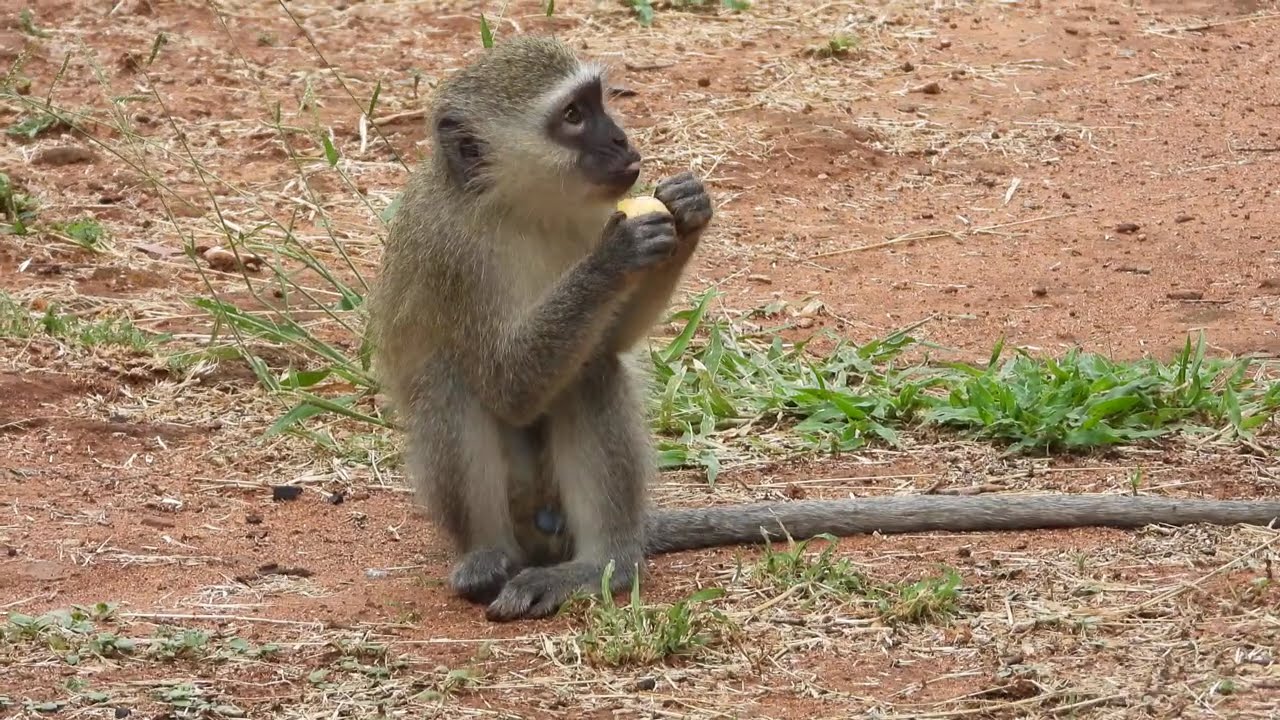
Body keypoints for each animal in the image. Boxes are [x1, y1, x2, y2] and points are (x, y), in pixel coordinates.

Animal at [366, 35, 1280, 623]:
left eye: (600, 103)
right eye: (572, 117)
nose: (623, 141)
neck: (522, 208)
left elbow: (609, 348)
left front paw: (686, 215)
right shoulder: (453, 255)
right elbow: (508, 383)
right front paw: (619, 252)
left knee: (589, 374)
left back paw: (602, 566)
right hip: (513, 513)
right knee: (455, 386)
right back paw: (491, 560)